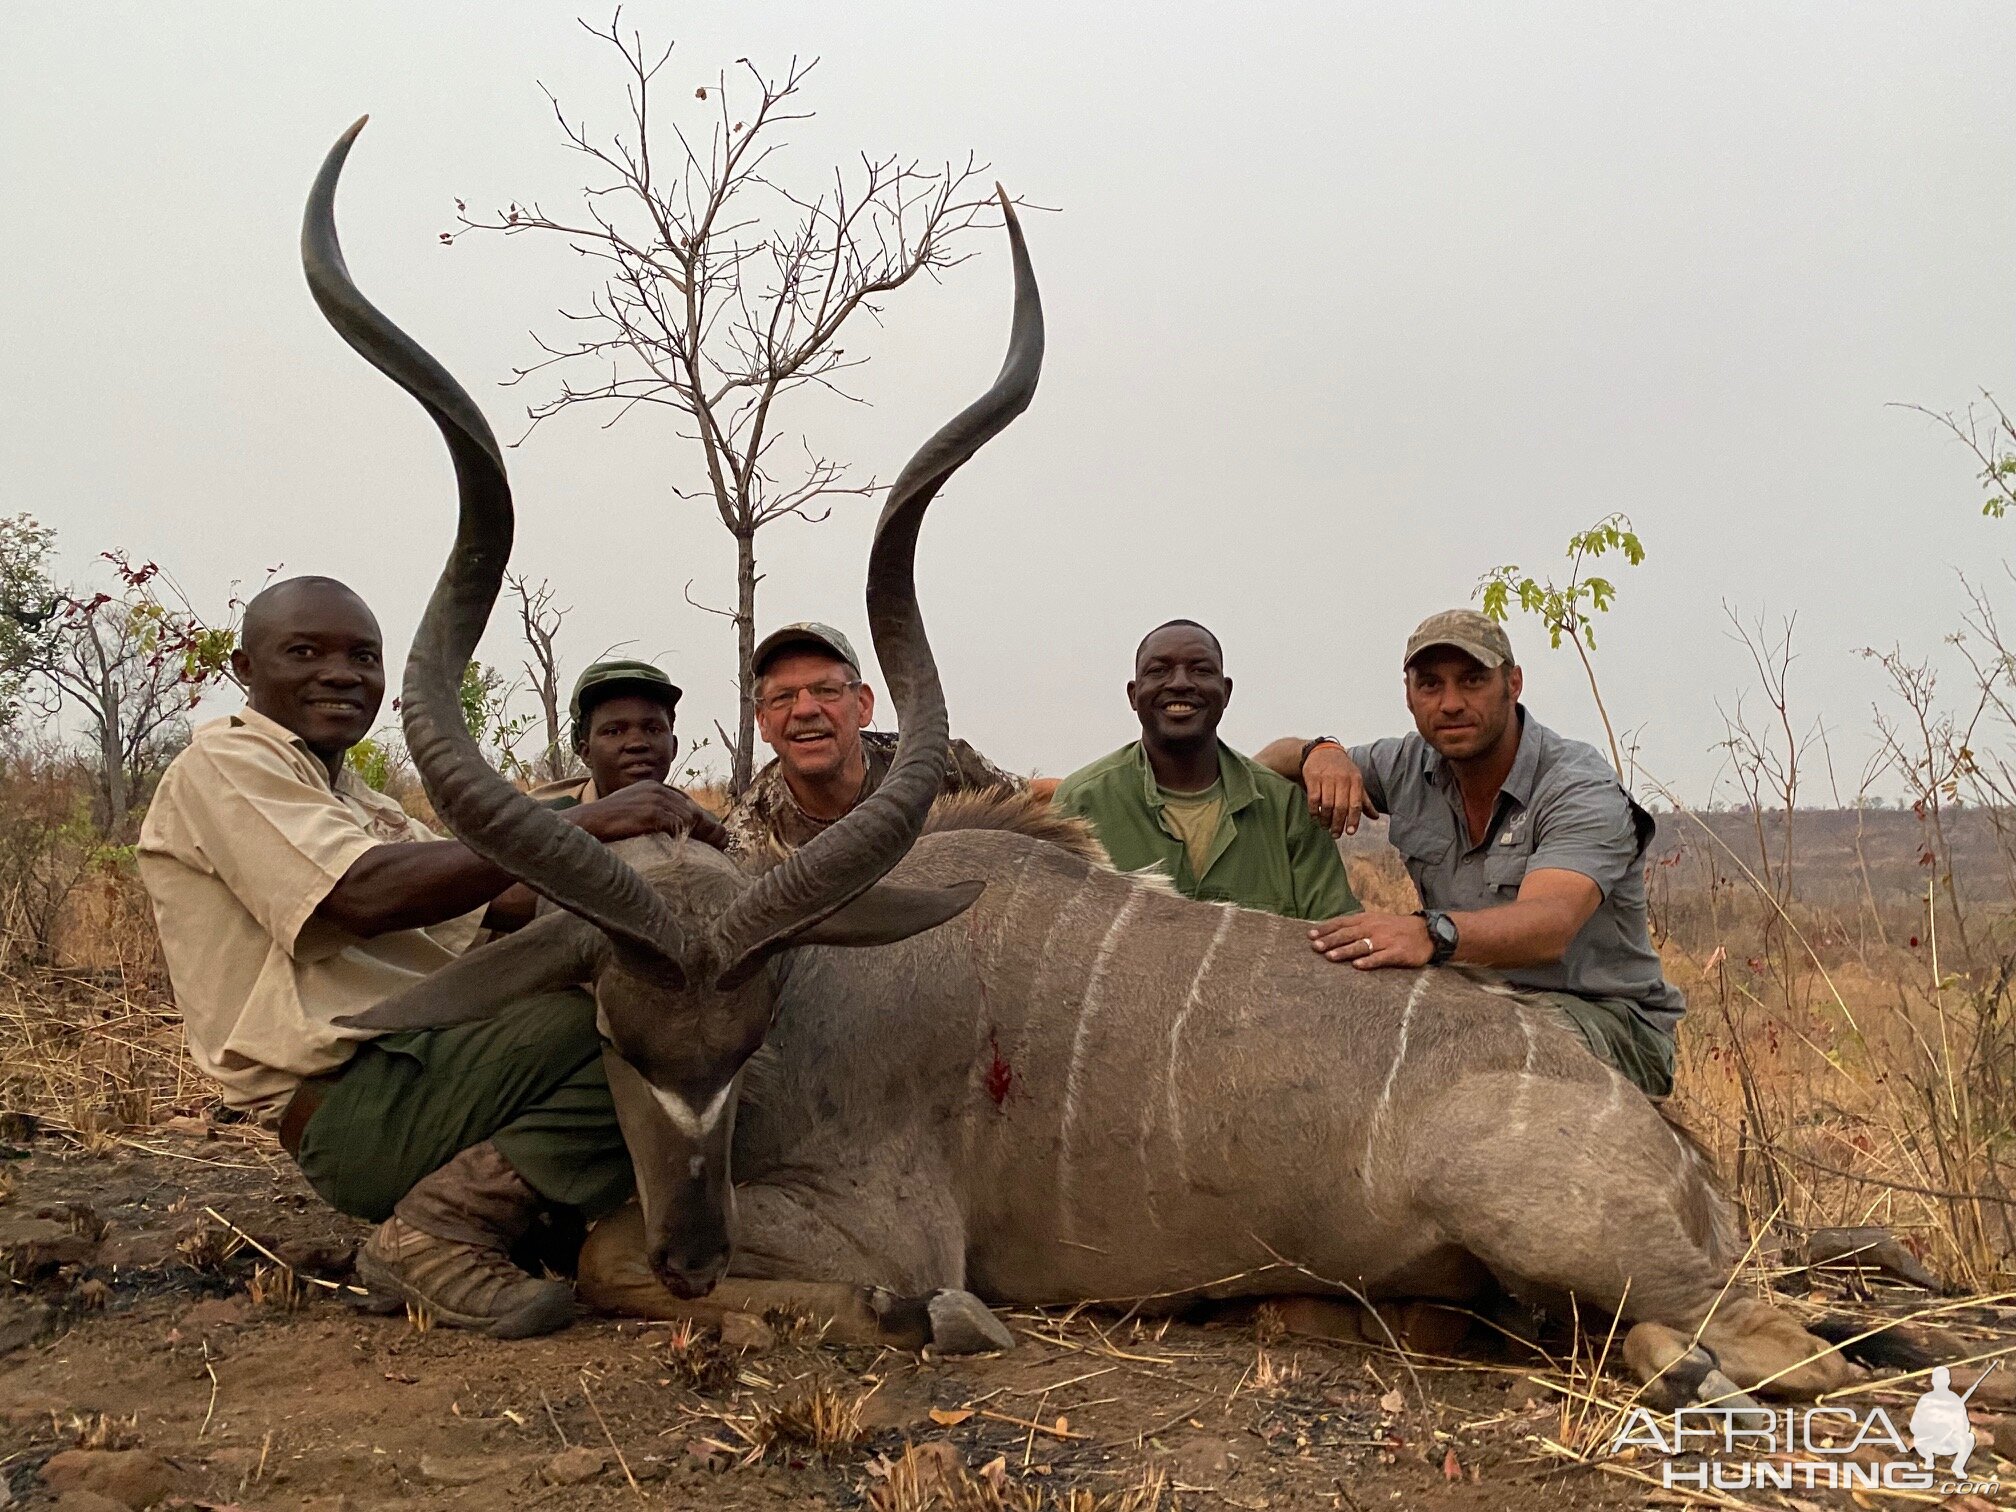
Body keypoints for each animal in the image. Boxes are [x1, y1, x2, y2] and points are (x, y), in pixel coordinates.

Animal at [314, 121, 1903, 1411]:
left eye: (746, 1037)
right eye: (613, 1033)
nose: (700, 1256)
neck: (838, 984)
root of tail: (1669, 1152)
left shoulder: (892, 1223)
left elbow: (617, 1256)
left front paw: (928, 1320)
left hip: (1587, 1237)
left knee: (1791, 1351)